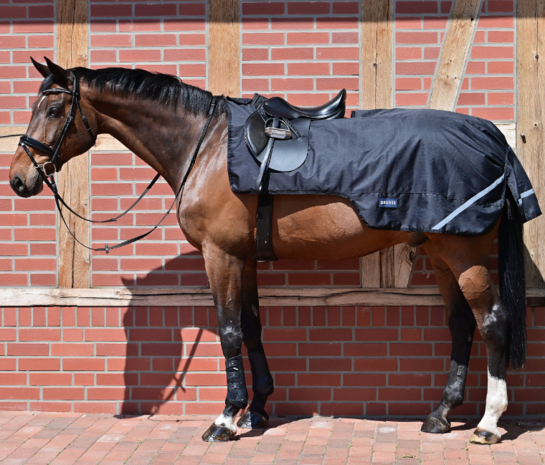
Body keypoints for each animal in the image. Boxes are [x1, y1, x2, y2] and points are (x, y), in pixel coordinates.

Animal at [8, 59, 528, 444]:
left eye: (53, 110)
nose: (19, 178)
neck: (207, 145)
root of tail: (492, 138)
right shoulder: (244, 257)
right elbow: (253, 327)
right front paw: (257, 409)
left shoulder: (219, 255)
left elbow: (229, 331)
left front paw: (225, 418)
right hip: (441, 254)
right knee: (461, 325)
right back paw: (440, 413)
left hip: (464, 254)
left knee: (491, 321)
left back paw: (488, 423)